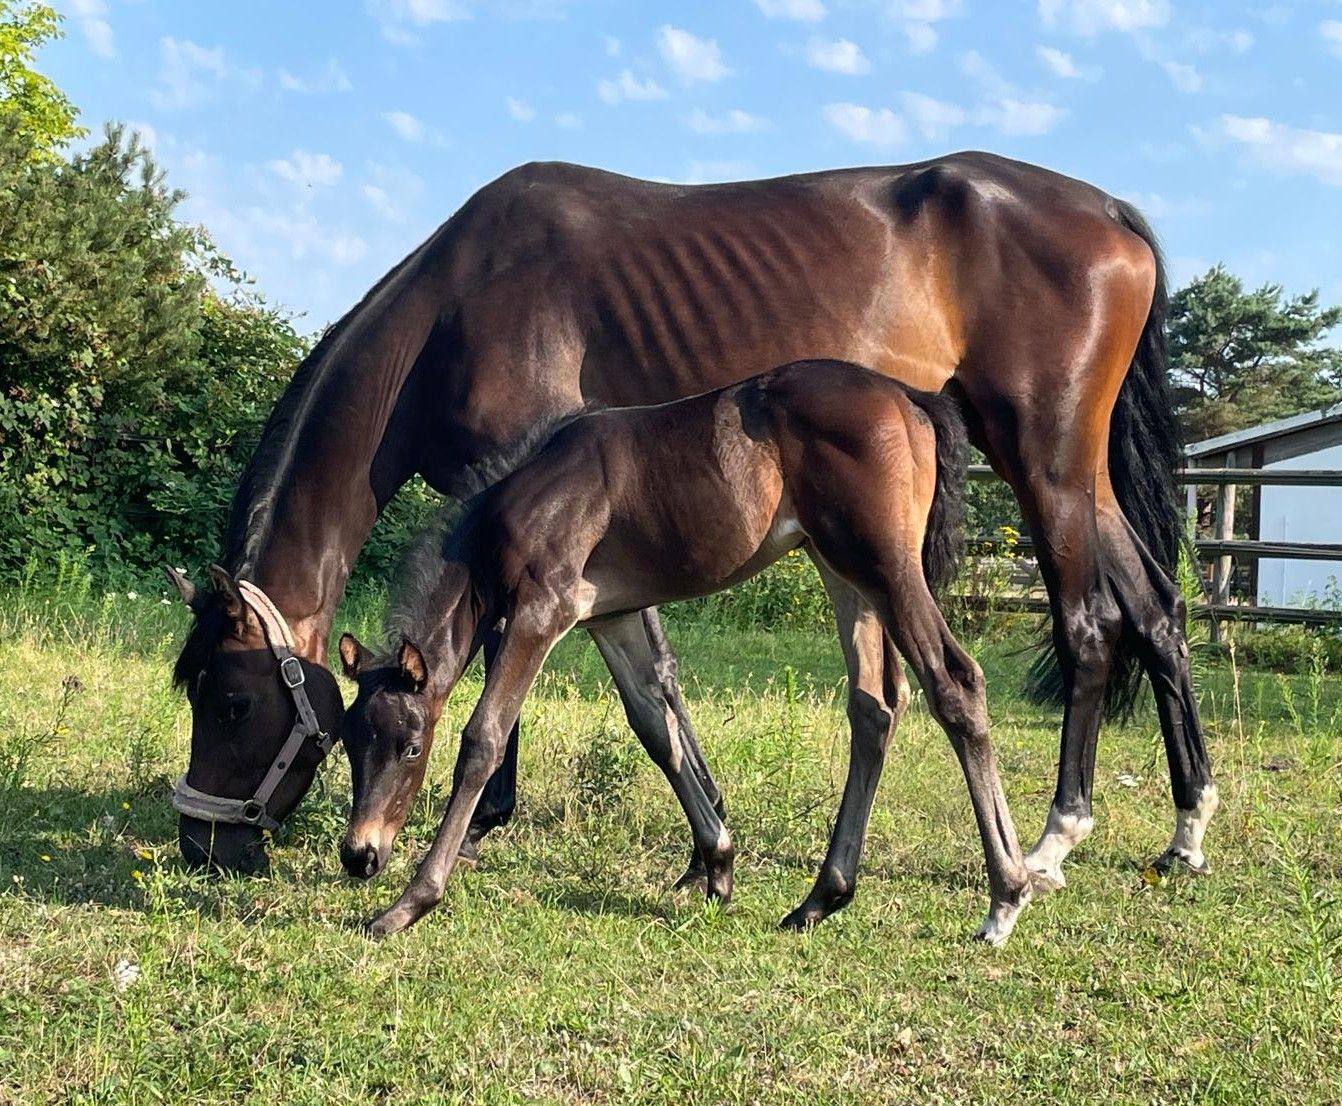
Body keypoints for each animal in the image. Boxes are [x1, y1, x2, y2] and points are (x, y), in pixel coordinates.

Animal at [334, 359, 1032, 943]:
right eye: (348, 740)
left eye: (412, 746)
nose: (360, 855)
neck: (528, 493)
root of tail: (910, 397)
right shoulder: (608, 617)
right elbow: (654, 726)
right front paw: (718, 863)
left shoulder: (542, 610)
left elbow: (484, 737)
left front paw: (408, 904)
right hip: (845, 575)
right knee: (873, 708)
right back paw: (820, 899)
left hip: (886, 567)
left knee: (955, 682)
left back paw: (1006, 896)